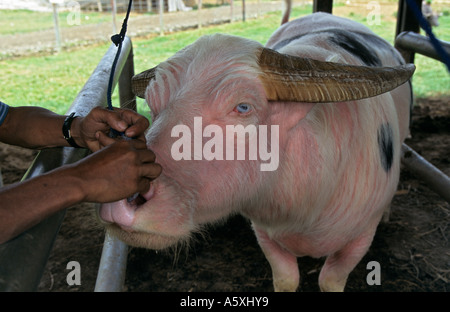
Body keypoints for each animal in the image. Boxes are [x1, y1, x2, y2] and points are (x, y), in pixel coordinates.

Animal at [99, 11, 414, 290]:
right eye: (153, 103)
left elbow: (331, 281)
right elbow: (286, 280)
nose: (126, 195)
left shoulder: (361, 237)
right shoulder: (264, 232)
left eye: (243, 107)